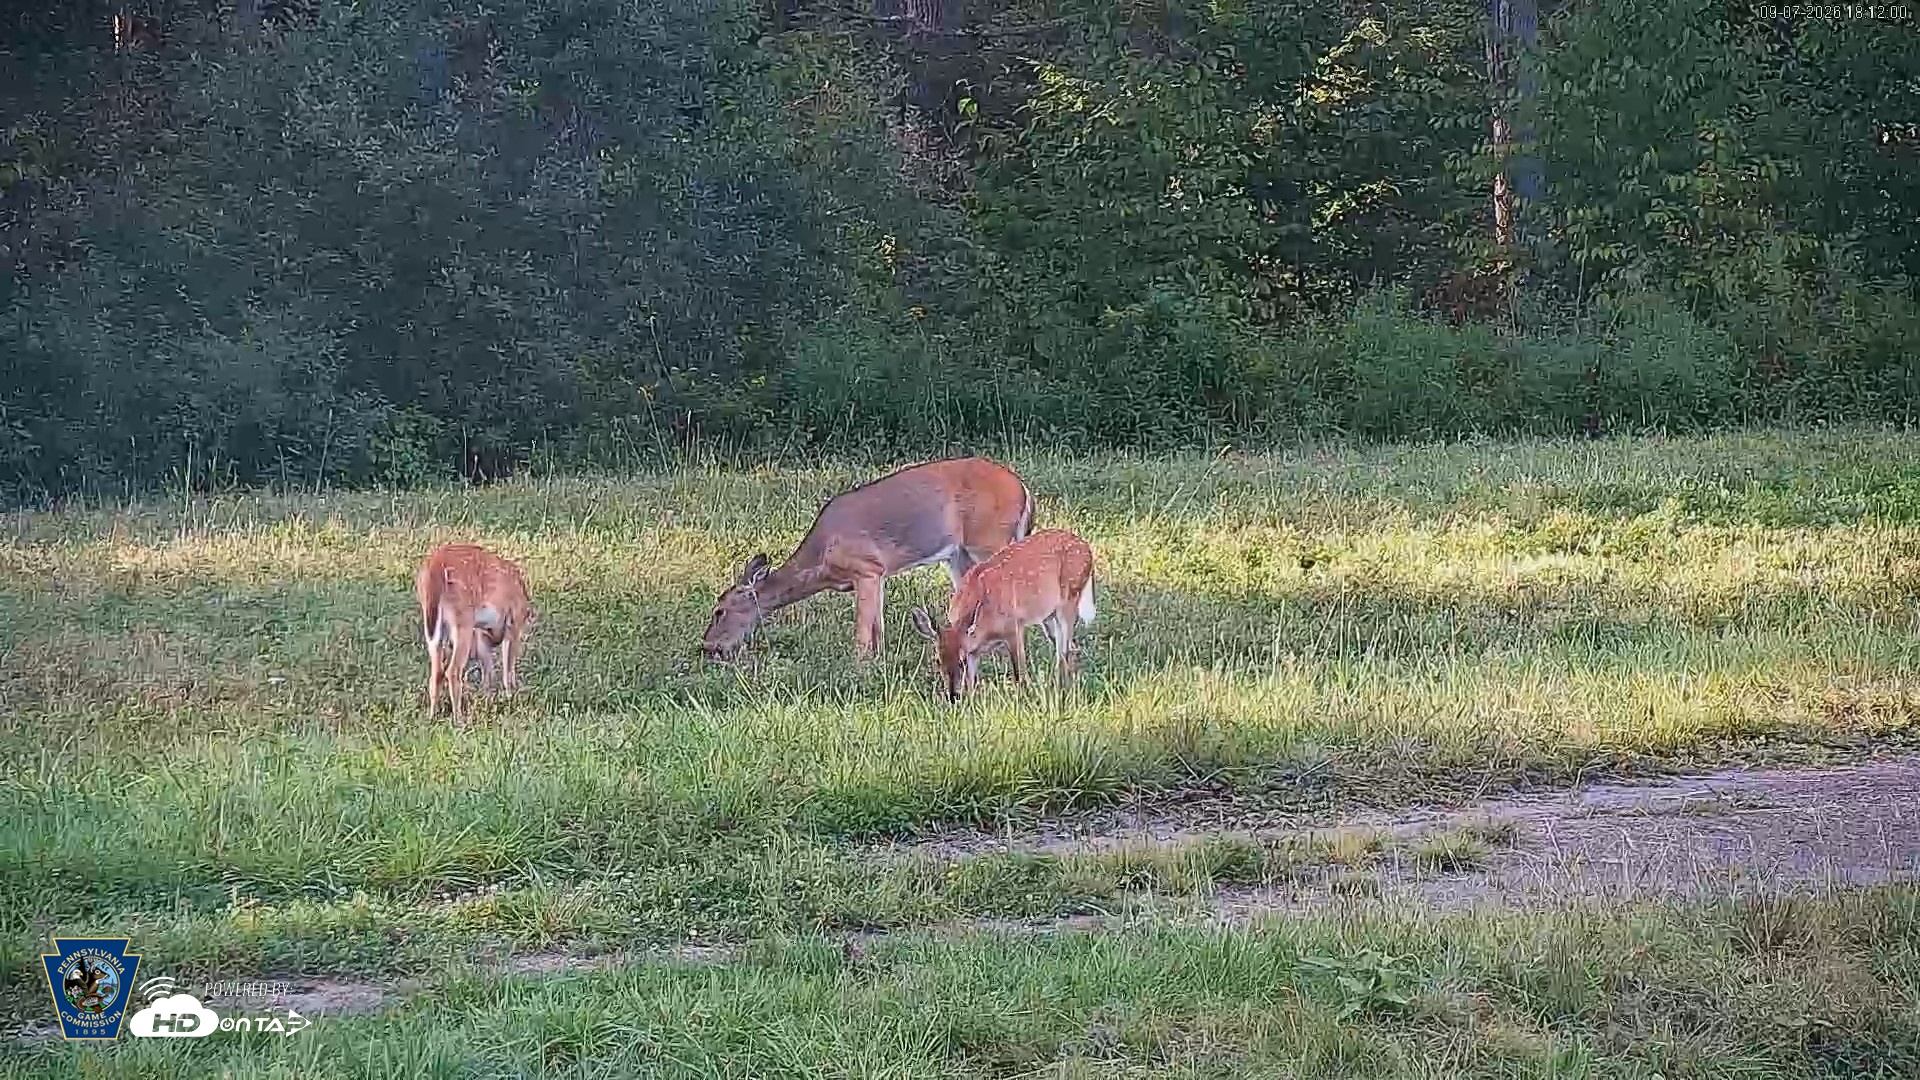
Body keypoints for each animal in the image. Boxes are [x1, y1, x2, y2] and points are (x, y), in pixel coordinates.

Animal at [415, 543, 537, 722]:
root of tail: (433, 567)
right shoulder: (513, 624)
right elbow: (508, 668)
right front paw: (510, 697)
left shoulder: (481, 635)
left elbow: (489, 671)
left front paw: (488, 701)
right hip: (463, 620)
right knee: (452, 670)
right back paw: (459, 719)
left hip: (434, 626)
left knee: (436, 672)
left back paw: (432, 716)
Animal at [702, 457, 1034, 662]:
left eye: (719, 611)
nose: (707, 646)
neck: (821, 559)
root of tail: (1023, 488)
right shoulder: (879, 574)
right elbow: (877, 628)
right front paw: (879, 662)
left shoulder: (865, 568)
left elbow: (862, 633)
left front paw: (858, 667)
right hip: (960, 555)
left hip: (988, 539)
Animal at [909, 528, 1095, 700]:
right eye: (937, 660)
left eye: (961, 662)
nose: (953, 696)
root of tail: (1087, 548)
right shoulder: (973, 650)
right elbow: (971, 683)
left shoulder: (1014, 627)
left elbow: (1019, 674)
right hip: (1050, 615)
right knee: (1067, 650)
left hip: (1070, 599)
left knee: (1065, 650)